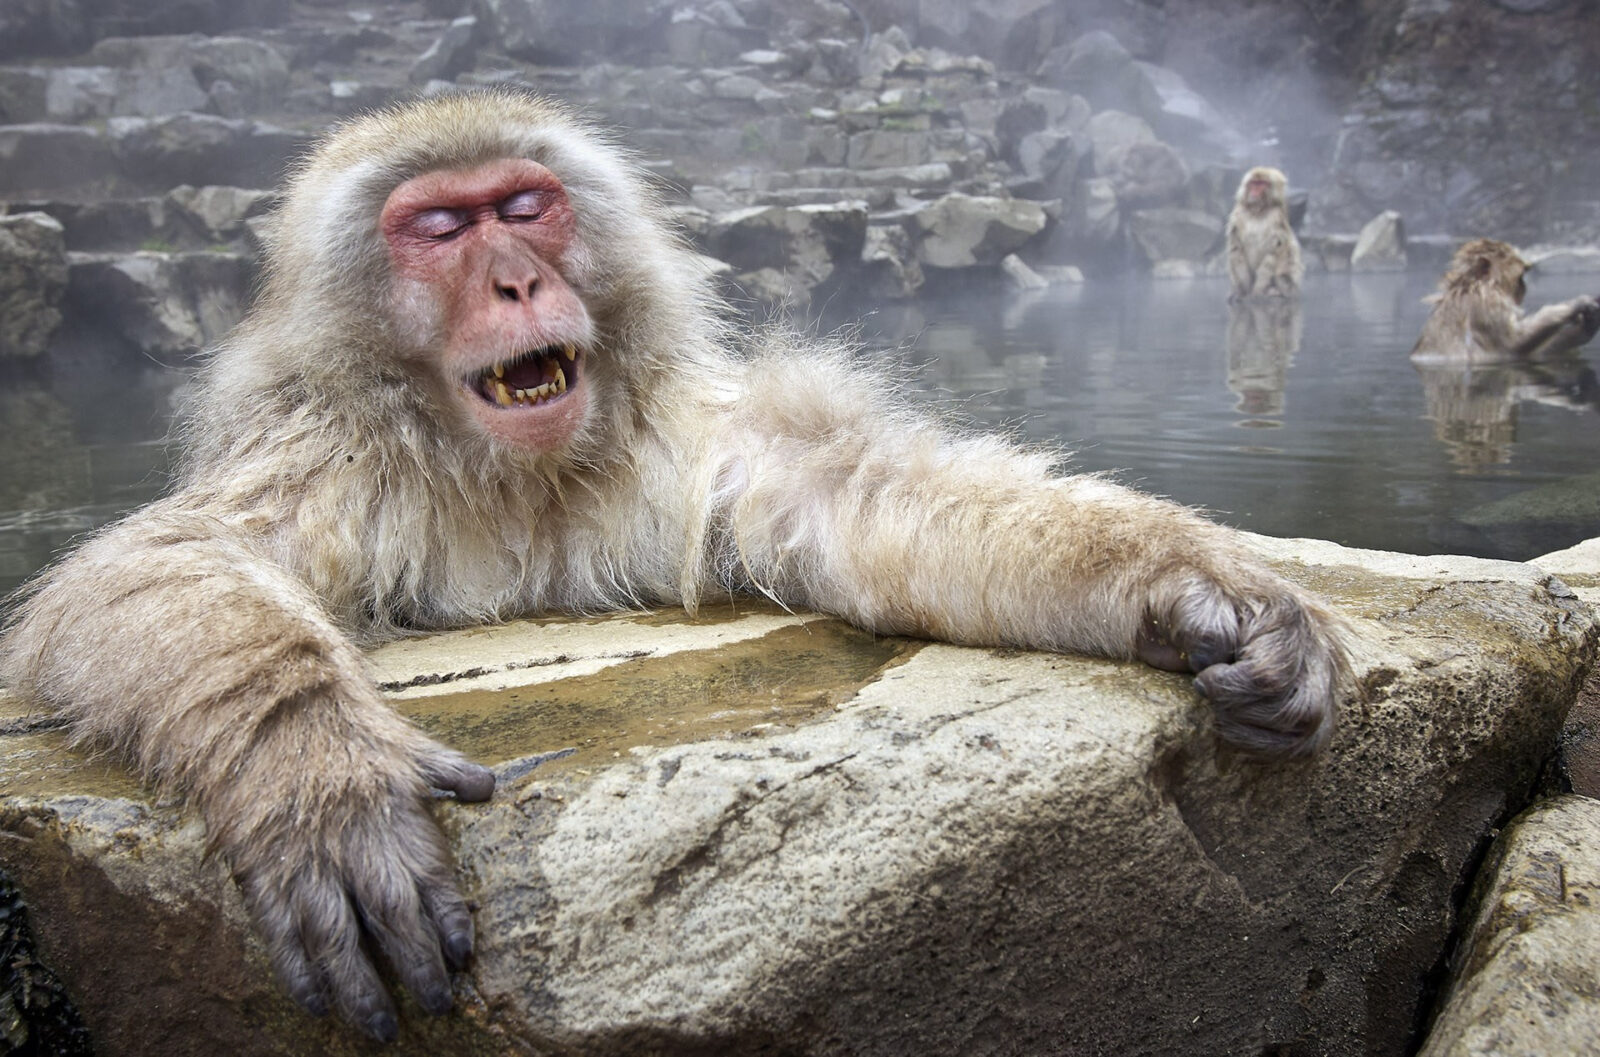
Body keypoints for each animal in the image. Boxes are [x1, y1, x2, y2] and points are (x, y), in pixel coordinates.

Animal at [1224, 166, 1303, 301]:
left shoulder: (1276, 217)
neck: (1257, 211)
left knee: (1290, 250)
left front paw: (1257, 291)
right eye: (1253, 183)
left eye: (1261, 184)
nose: (1254, 191)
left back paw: (1279, 289)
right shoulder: (1238, 214)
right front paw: (1242, 291)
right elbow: (1236, 248)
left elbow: (1273, 251)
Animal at [1410, 238, 1600, 362]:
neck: (1471, 284)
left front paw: (1587, 326)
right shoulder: (1485, 305)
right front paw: (1576, 304)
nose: (1524, 288)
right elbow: (1512, 344)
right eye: (1521, 276)